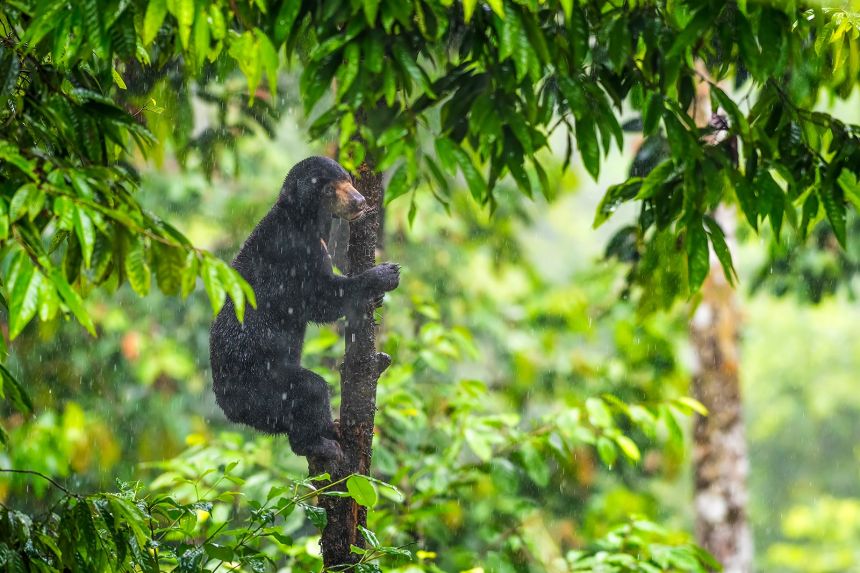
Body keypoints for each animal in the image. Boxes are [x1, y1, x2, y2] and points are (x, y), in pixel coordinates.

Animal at [208, 156, 400, 460]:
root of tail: (229, 410)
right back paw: (322, 443)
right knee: (309, 390)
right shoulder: (294, 253)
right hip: (263, 385)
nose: (359, 202)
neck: (305, 222)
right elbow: (319, 300)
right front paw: (384, 274)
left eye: (348, 179)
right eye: (328, 189)